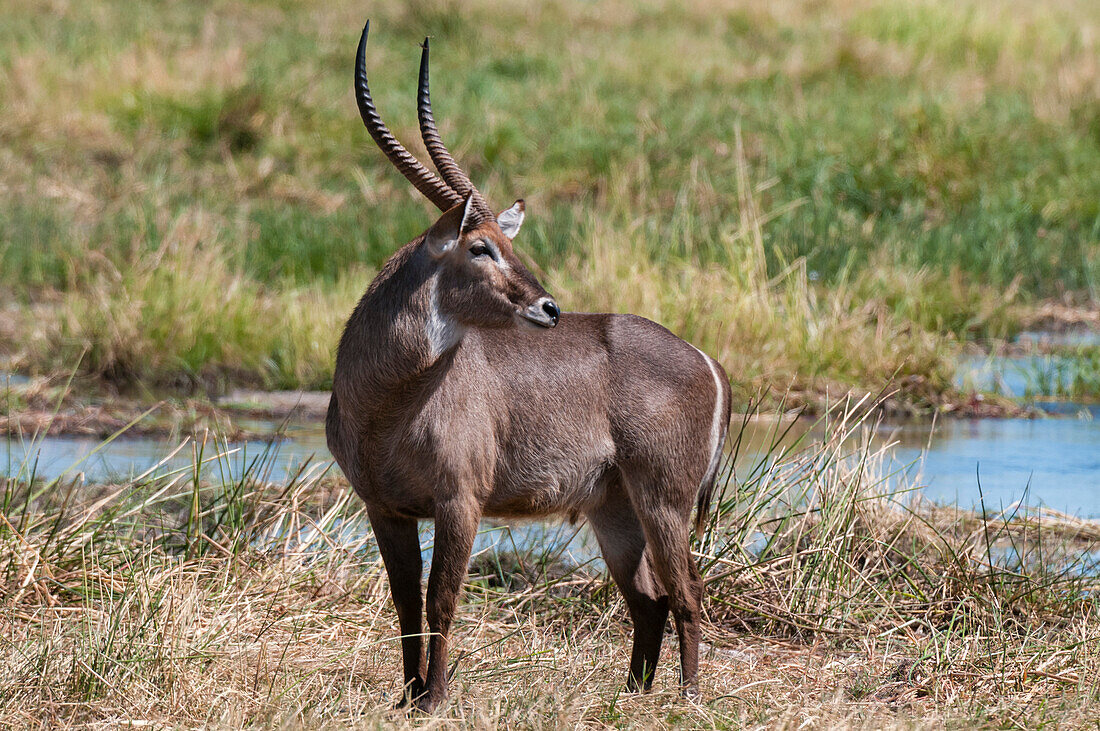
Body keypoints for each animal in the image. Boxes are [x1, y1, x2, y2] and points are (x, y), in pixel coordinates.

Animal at [330, 19, 734, 707]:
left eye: (506, 241)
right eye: (480, 247)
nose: (549, 307)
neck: (386, 402)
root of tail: (704, 358)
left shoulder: (460, 501)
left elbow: (441, 602)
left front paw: (435, 700)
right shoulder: (384, 508)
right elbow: (404, 605)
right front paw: (406, 697)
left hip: (664, 500)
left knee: (687, 593)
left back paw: (687, 698)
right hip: (614, 508)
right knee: (648, 600)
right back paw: (633, 694)